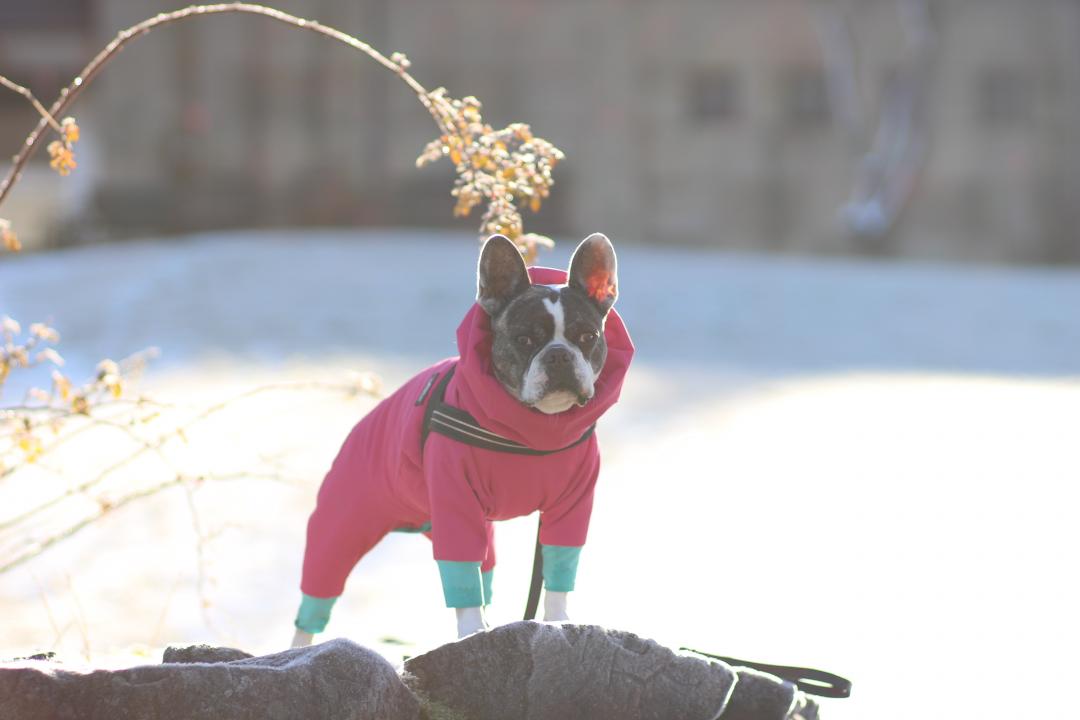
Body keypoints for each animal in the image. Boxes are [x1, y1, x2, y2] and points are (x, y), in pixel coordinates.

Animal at [293, 232, 630, 647]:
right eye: (524, 339)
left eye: (587, 337)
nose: (558, 356)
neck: (535, 429)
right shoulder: (454, 502)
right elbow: (462, 579)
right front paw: (471, 633)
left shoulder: (572, 507)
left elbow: (559, 569)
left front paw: (557, 621)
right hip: (341, 524)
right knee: (317, 594)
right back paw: (298, 645)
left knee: (484, 570)